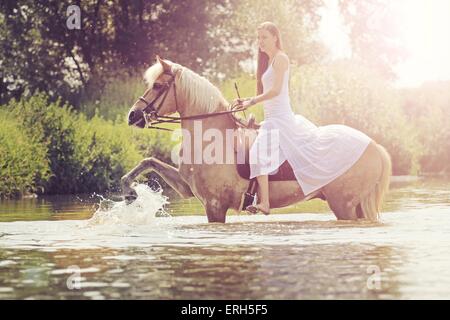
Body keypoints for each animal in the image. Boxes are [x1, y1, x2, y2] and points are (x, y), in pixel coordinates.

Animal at [122, 55, 390, 222]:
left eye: (158, 86)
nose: (133, 115)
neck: (211, 140)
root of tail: (373, 145)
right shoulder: (186, 188)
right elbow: (148, 161)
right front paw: (129, 191)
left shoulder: (214, 205)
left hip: (344, 205)